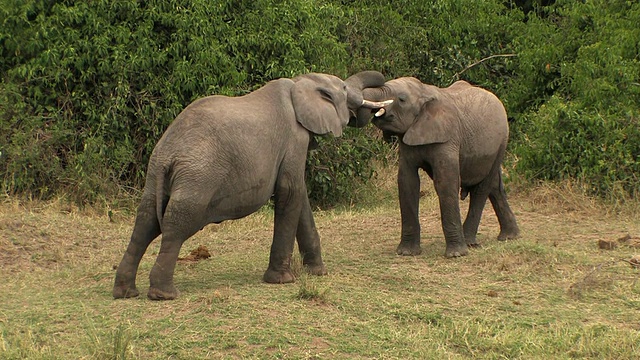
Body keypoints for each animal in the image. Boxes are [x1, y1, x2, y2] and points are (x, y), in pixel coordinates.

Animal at [112, 71, 388, 300]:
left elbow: (300, 198)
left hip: (155, 174)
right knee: (176, 224)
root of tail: (167, 154)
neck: (300, 83)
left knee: (145, 220)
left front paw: (317, 273)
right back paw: (164, 295)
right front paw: (282, 281)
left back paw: (125, 293)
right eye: (344, 88)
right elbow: (291, 192)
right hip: (198, 176)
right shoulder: (294, 138)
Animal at [356, 77, 520, 258]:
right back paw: (509, 236)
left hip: (502, 141)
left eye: (401, 99)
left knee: (482, 188)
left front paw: (455, 255)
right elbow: (407, 182)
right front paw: (407, 253)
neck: (424, 92)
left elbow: (445, 183)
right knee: (495, 186)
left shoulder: (448, 139)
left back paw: (469, 242)